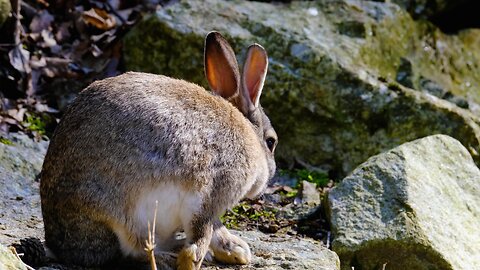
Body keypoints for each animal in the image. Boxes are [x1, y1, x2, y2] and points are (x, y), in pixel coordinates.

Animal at [40, 32, 278, 270]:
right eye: (271, 142)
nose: (270, 176)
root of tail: (61, 245)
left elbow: (215, 229)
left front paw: (237, 251)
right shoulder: (211, 194)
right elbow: (200, 236)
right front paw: (194, 260)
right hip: (127, 215)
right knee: (134, 251)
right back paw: (169, 257)